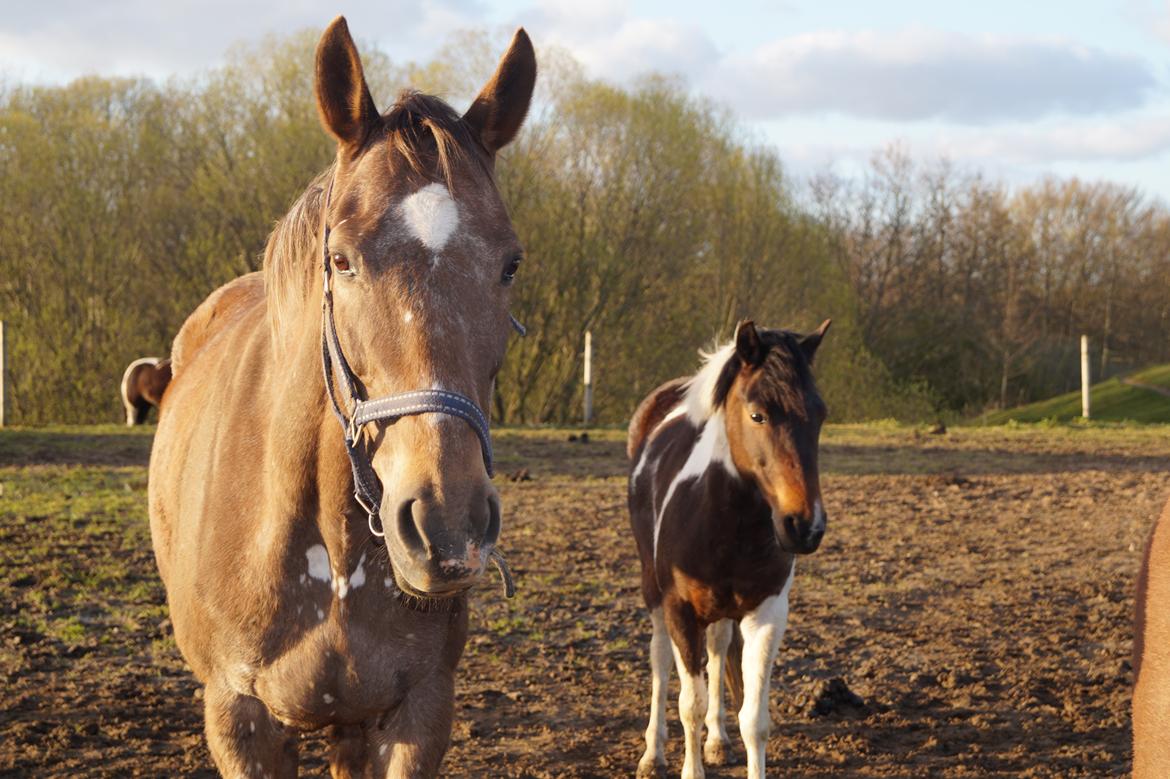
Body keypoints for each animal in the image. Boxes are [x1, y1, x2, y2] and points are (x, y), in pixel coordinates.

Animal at [631, 318, 833, 776]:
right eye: (757, 414)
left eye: (819, 415)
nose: (805, 526)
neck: (726, 526)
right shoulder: (680, 611)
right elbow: (689, 704)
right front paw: (688, 767)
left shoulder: (767, 614)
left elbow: (754, 720)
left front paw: (725, 740)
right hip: (654, 591)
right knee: (659, 658)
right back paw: (653, 753)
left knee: (719, 648)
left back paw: (718, 741)